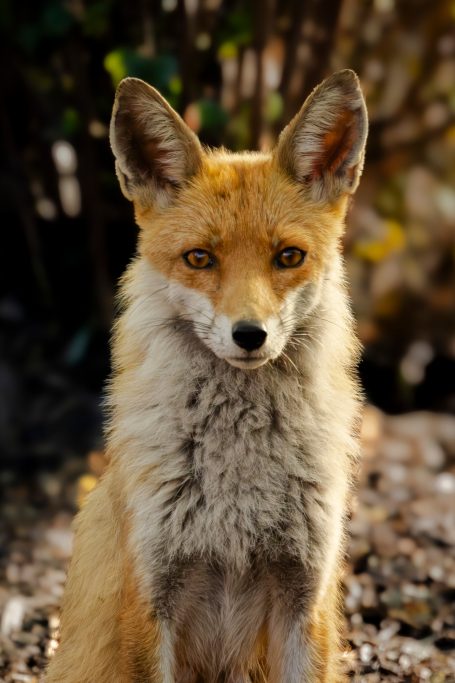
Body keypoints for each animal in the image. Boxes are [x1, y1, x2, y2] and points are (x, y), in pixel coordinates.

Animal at [45, 69, 366, 683]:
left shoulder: (303, 597)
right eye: (199, 259)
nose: (250, 335)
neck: (238, 493)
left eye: (289, 257)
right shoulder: (151, 600)